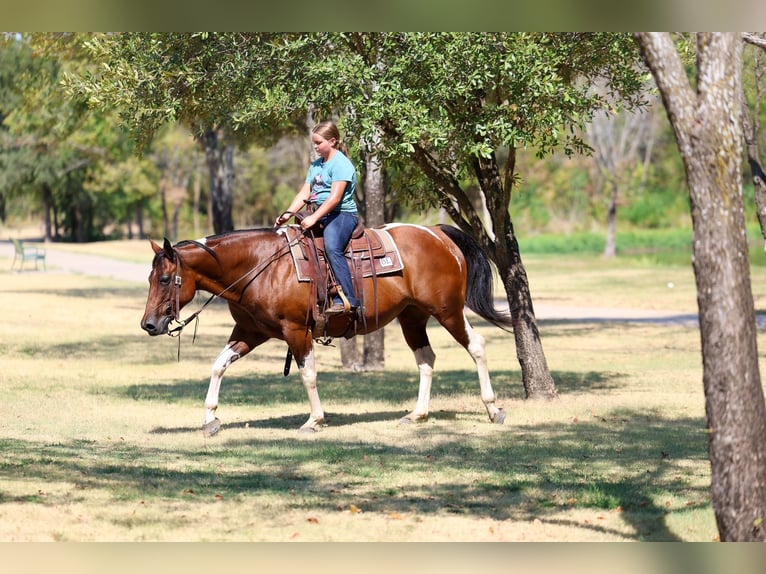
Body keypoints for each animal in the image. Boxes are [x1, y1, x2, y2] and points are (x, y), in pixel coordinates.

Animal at [140, 223, 513, 435]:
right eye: (149, 278)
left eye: (164, 279)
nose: (148, 324)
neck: (259, 267)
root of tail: (436, 232)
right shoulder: (249, 332)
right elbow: (218, 365)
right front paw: (210, 419)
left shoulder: (297, 333)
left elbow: (308, 375)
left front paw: (314, 420)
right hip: (413, 316)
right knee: (426, 359)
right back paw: (417, 414)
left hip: (447, 310)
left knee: (476, 345)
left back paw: (493, 409)